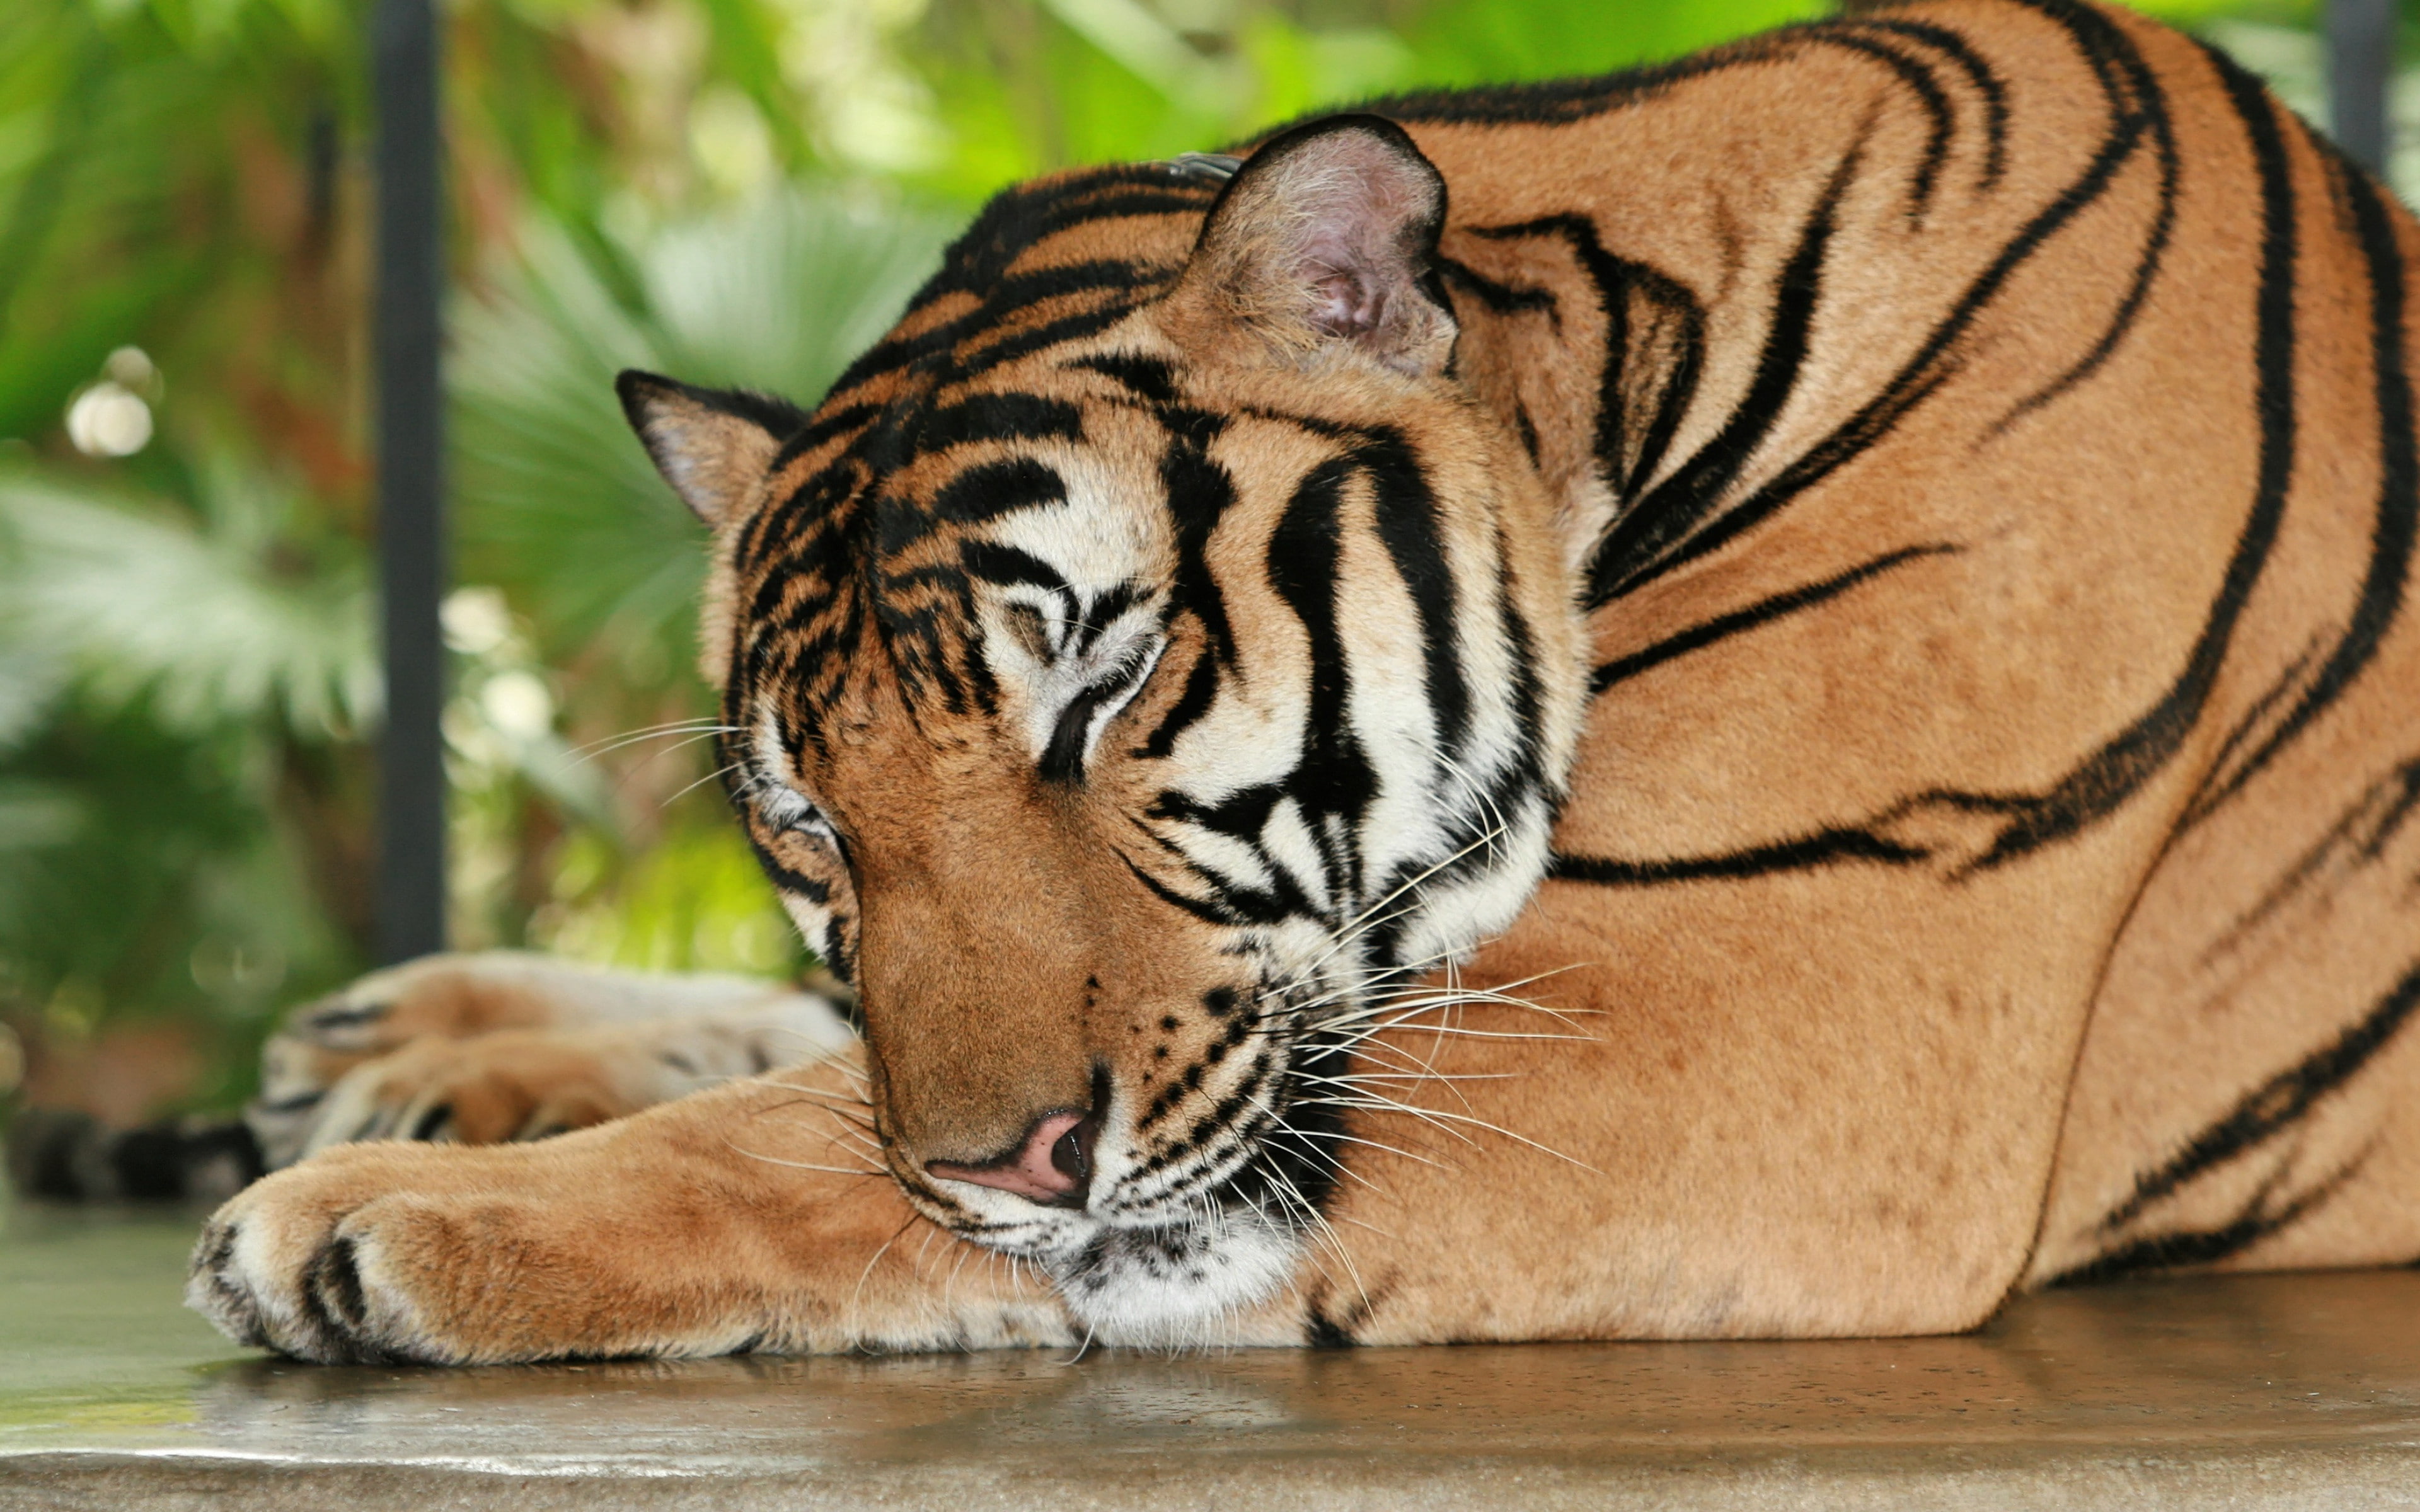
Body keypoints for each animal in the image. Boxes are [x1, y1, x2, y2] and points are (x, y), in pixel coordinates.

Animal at [176, 0, 2420, 1364]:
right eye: (808, 815)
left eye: (1101, 679)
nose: (1011, 1167)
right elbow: (825, 1070)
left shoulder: (1750, 1016)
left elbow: (803, 1134)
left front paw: (372, 1219)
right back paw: (404, 1025)